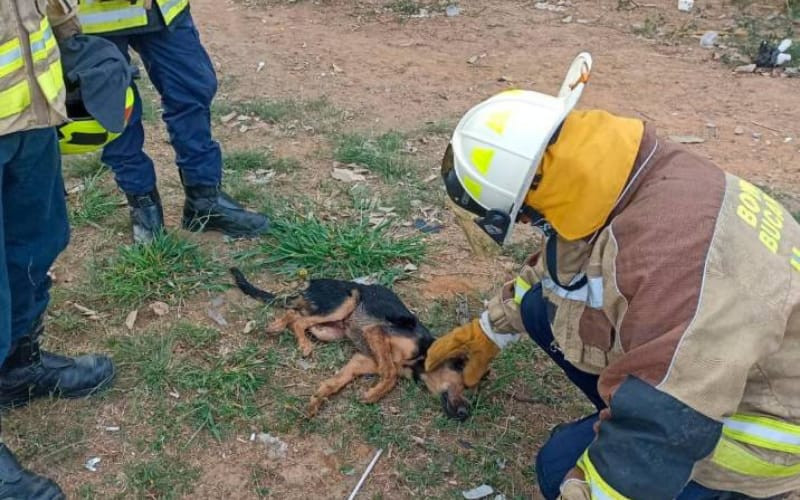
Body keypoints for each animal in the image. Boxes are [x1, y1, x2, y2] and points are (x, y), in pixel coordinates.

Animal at [228, 268, 472, 420]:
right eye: (461, 381)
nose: (466, 414)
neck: (420, 358)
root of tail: (311, 284)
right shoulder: (377, 332)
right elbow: (391, 374)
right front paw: (374, 394)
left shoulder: (359, 361)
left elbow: (333, 384)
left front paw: (315, 402)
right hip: (347, 301)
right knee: (298, 318)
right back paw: (298, 341)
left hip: (330, 330)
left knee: (296, 316)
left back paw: (279, 327)